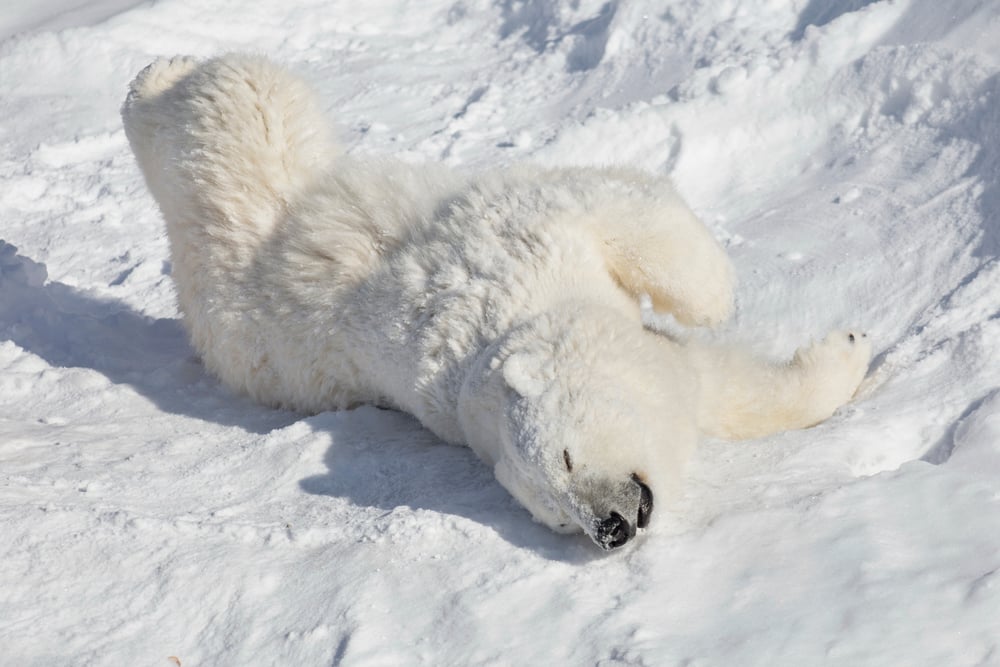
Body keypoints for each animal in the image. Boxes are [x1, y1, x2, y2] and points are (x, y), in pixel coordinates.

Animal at [121, 54, 872, 552]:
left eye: (565, 458)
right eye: (553, 512)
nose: (609, 528)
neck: (501, 337)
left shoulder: (523, 242)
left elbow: (627, 218)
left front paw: (746, 307)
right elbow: (718, 386)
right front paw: (847, 350)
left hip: (267, 203)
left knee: (246, 97)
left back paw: (153, 75)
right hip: (251, 331)